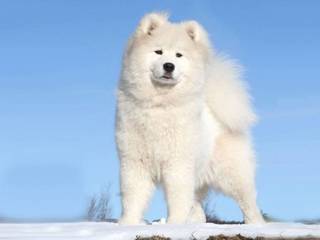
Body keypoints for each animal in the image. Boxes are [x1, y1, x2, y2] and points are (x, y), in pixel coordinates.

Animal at [115, 12, 264, 224]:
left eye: (179, 55)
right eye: (158, 52)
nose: (169, 66)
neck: (161, 104)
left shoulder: (177, 164)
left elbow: (177, 199)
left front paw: (174, 224)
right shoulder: (134, 163)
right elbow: (132, 199)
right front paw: (127, 224)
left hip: (233, 175)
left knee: (249, 204)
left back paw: (256, 225)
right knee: (198, 208)